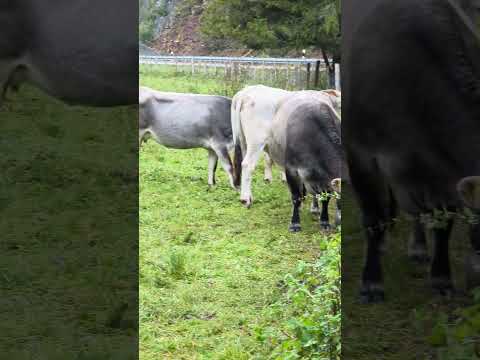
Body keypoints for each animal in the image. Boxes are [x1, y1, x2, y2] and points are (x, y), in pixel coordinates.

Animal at [268, 91, 344, 232]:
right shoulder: (291, 169)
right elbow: (296, 196)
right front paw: (295, 223)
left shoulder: (324, 178)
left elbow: (326, 198)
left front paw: (324, 221)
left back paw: (315, 208)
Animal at [344, 0, 480, 304]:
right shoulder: (360, 154)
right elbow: (373, 219)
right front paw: (371, 283)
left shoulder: (443, 171)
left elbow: (444, 223)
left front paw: (441, 278)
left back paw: (418, 247)